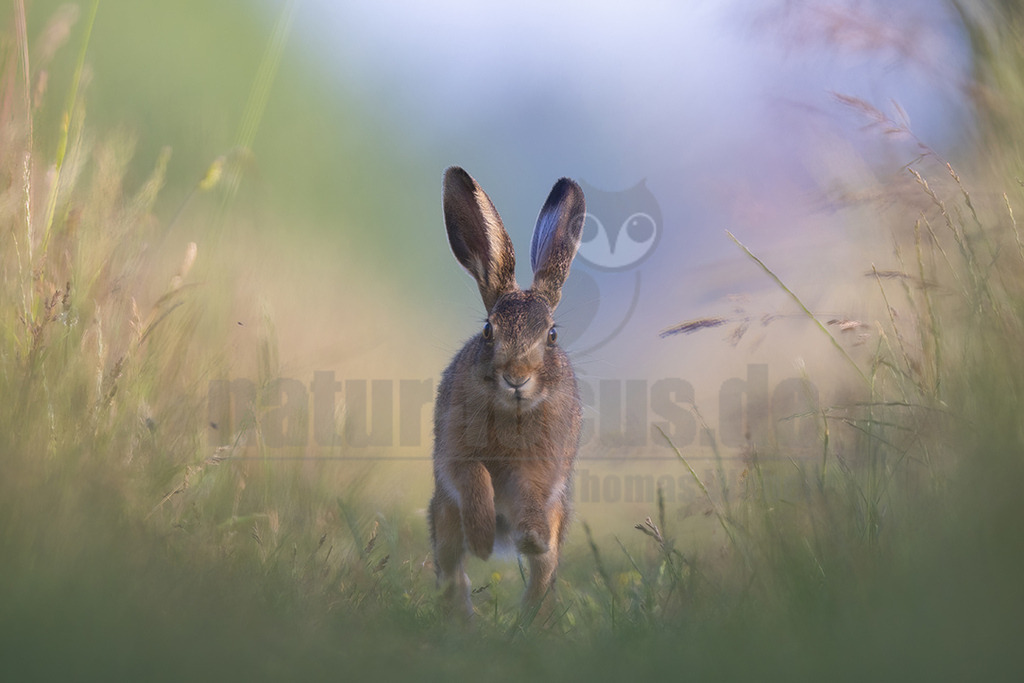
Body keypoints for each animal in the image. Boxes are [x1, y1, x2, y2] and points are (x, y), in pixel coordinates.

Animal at [429, 166, 586, 620]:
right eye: (487, 331)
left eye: (551, 335)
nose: (516, 376)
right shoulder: (455, 455)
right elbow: (475, 478)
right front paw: (482, 539)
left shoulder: (542, 468)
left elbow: (531, 493)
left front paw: (530, 537)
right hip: (443, 518)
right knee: (453, 571)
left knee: (543, 574)